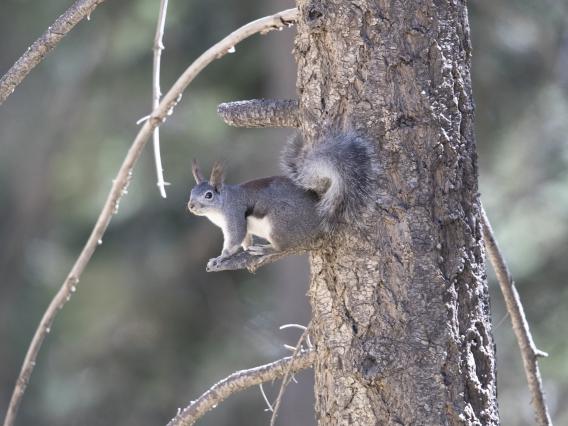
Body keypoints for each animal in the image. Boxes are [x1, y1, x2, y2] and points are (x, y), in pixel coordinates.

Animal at [187, 133, 378, 266]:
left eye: (208, 195)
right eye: (191, 192)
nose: (191, 206)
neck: (221, 206)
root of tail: (319, 214)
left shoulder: (234, 213)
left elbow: (235, 238)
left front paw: (221, 258)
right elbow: (245, 238)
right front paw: (245, 248)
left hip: (279, 224)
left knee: (282, 248)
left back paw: (266, 249)